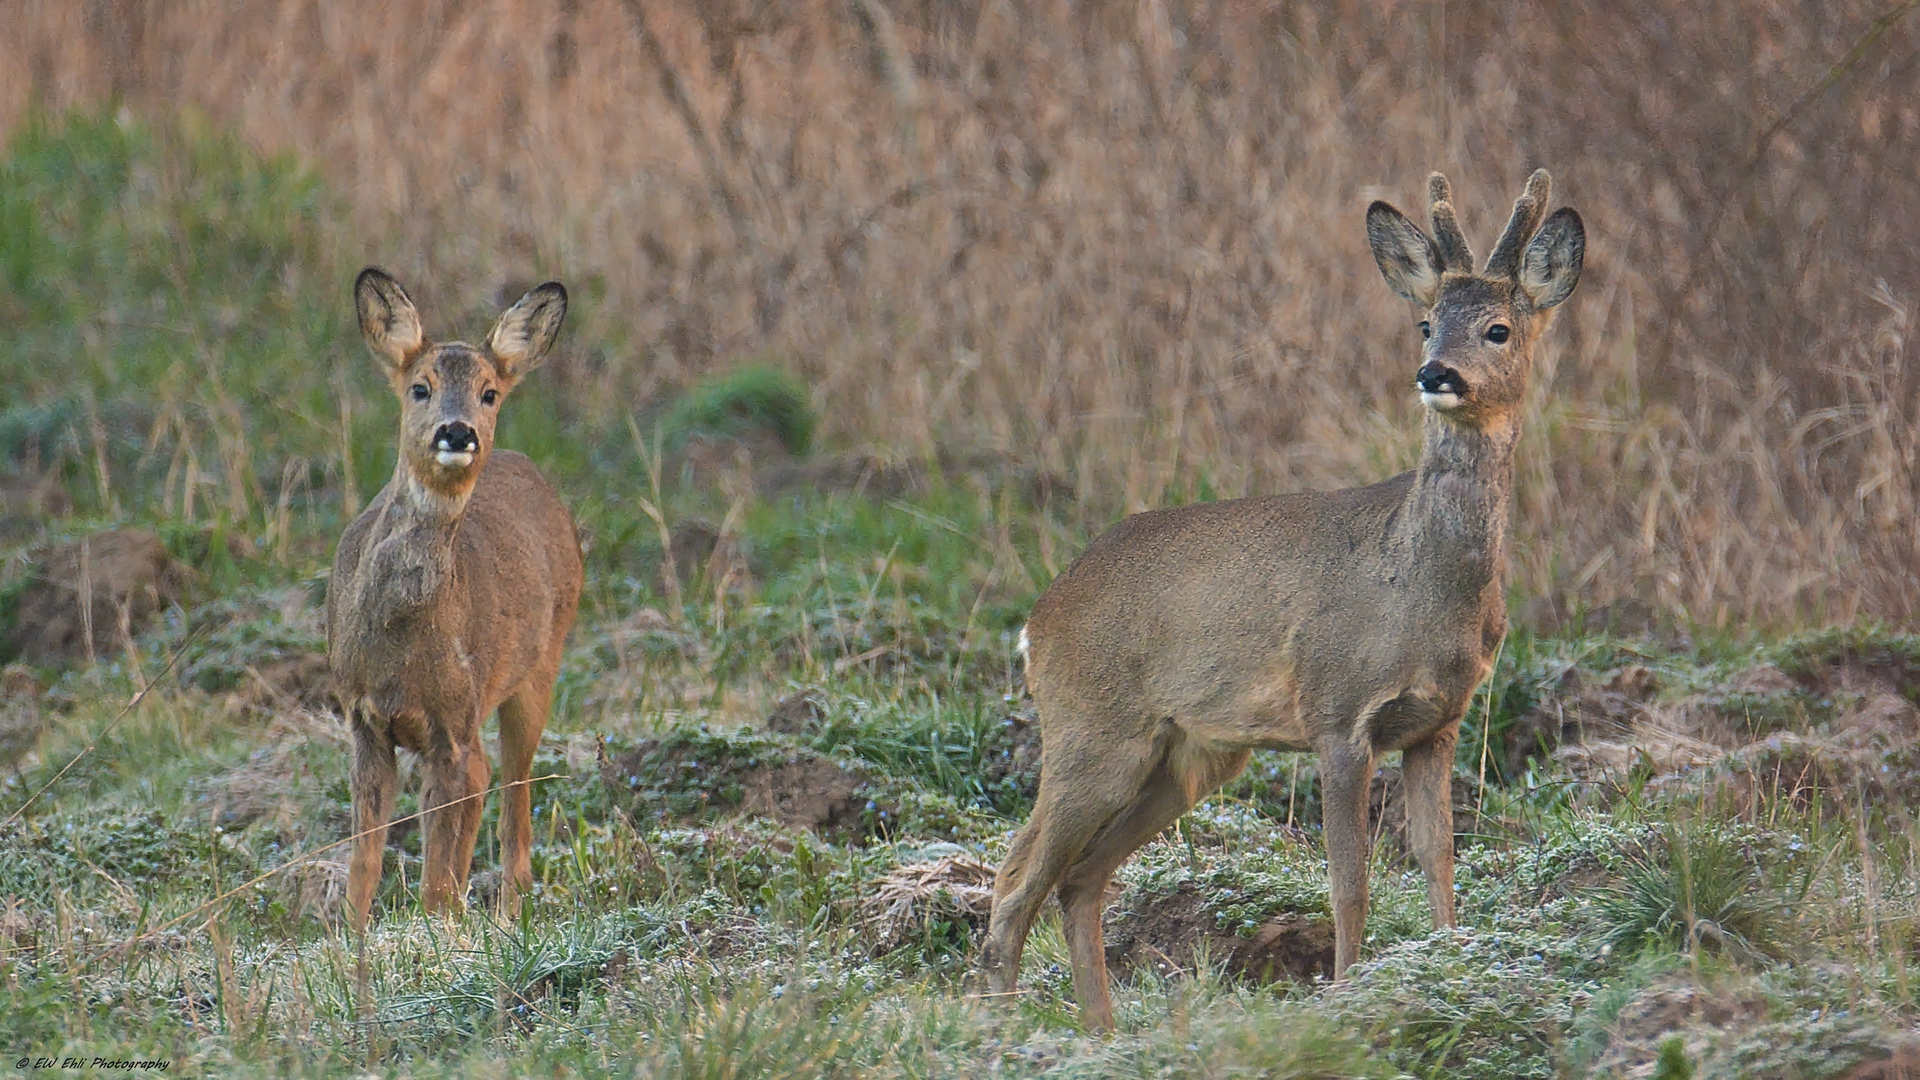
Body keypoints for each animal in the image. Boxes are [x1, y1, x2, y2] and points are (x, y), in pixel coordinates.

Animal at [332, 267, 583, 926]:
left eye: (489, 393)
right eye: (420, 387)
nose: (457, 430)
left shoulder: (456, 728)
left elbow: (441, 880)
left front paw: (444, 933)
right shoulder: (362, 718)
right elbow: (364, 863)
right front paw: (350, 933)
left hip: (540, 668)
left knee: (516, 795)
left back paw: (513, 906)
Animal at [983, 168, 1582, 1022]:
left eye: (1498, 328)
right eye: (1426, 323)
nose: (1436, 374)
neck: (1421, 588)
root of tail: (1038, 620)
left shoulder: (1439, 723)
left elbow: (1438, 861)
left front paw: (1449, 969)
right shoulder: (1339, 711)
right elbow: (1349, 882)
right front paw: (1349, 991)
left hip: (1185, 756)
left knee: (1078, 882)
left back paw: (1099, 1032)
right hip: (1092, 731)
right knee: (1014, 878)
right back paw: (998, 1024)